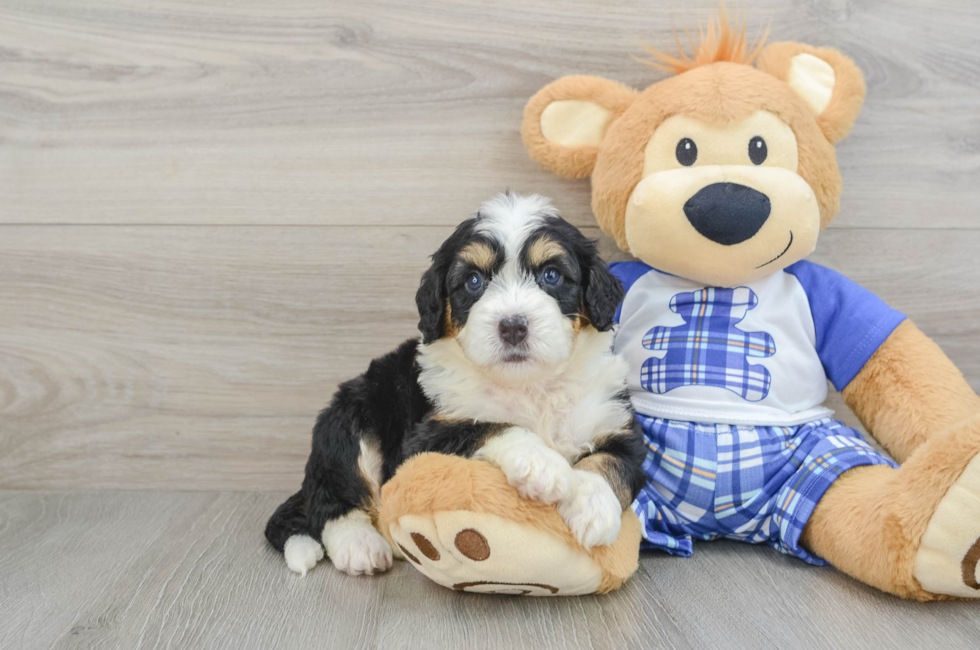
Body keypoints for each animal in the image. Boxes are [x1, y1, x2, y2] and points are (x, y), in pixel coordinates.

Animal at [268, 191, 648, 572]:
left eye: (551, 275)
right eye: (474, 281)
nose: (513, 326)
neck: (529, 386)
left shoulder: (616, 423)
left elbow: (611, 462)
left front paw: (593, 507)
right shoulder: (426, 436)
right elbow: (492, 425)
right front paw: (542, 465)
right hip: (352, 414)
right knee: (333, 495)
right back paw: (359, 545)